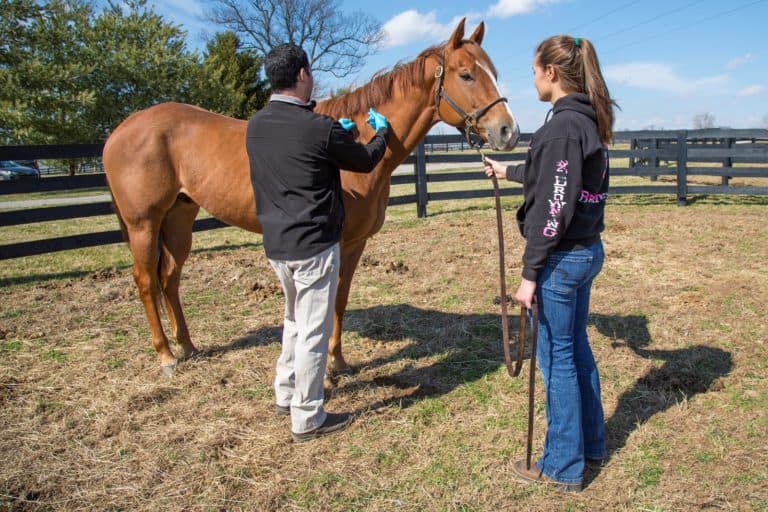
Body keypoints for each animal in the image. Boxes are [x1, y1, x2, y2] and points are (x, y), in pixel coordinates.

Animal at [102, 18, 519, 376]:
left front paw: (339, 361)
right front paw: (329, 365)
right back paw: (166, 356)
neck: (356, 148)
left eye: (494, 74)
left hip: (179, 219)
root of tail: (121, 130)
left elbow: (341, 299)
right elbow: (328, 301)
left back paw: (187, 346)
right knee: (146, 281)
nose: (508, 132)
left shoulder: (354, 243)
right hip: (144, 224)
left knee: (170, 279)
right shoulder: (333, 243)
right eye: (466, 75)